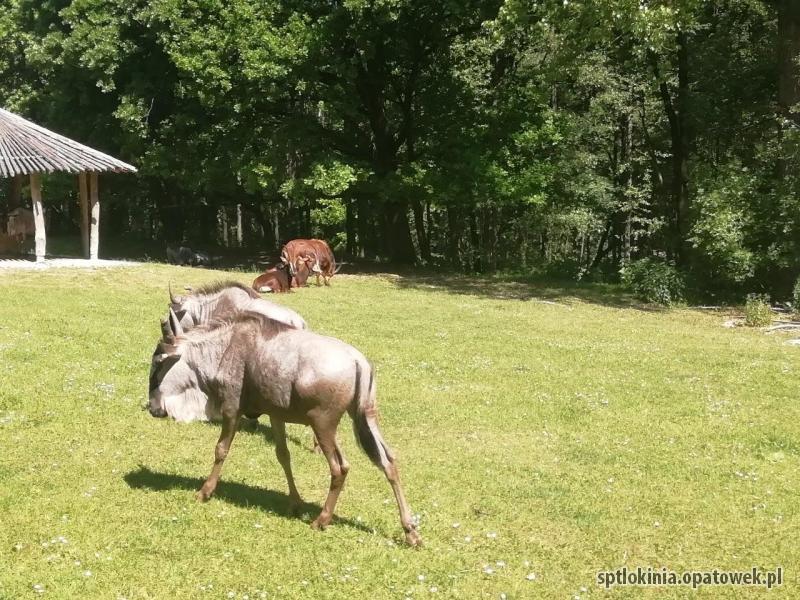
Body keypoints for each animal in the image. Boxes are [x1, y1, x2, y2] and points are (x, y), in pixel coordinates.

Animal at [151, 308, 424, 548]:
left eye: (157, 364)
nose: (152, 408)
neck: (224, 347)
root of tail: (359, 362)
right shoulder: (276, 415)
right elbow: (283, 455)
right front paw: (295, 502)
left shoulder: (231, 409)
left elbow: (221, 450)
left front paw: (205, 492)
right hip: (365, 419)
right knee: (387, 461)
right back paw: (410, 531)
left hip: (323, 424)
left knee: (339, 468)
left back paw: (322, 520)